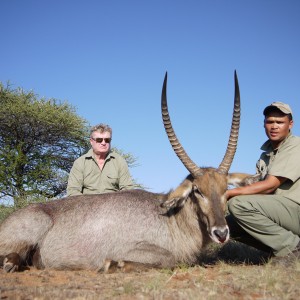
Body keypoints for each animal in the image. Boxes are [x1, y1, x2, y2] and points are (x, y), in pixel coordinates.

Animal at [0, 71, 258, 274]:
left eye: (226, 189)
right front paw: (114, 264)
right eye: (197, 191)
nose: (221, 233)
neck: (171, 218)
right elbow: (168, 259)